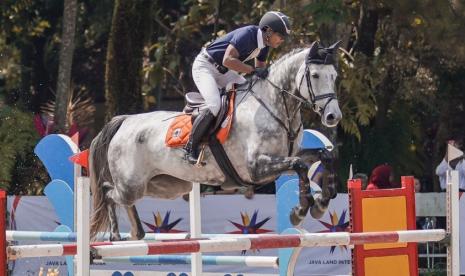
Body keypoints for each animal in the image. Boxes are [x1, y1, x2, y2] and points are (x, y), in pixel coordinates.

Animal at [89, 40, 340, 240]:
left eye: (334, 76)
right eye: (315, 75)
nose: (333, 116)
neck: (274, 106)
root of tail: (125, 121)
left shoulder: (285, 157)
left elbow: (323, 156)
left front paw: (321, 203)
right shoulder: (256, 168)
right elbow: (299, 166)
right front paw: (300, 211)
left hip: (165, 185)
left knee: (122, 198)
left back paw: (136, 233)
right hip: (132, 184)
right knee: (109, 192)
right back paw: (115, 235)